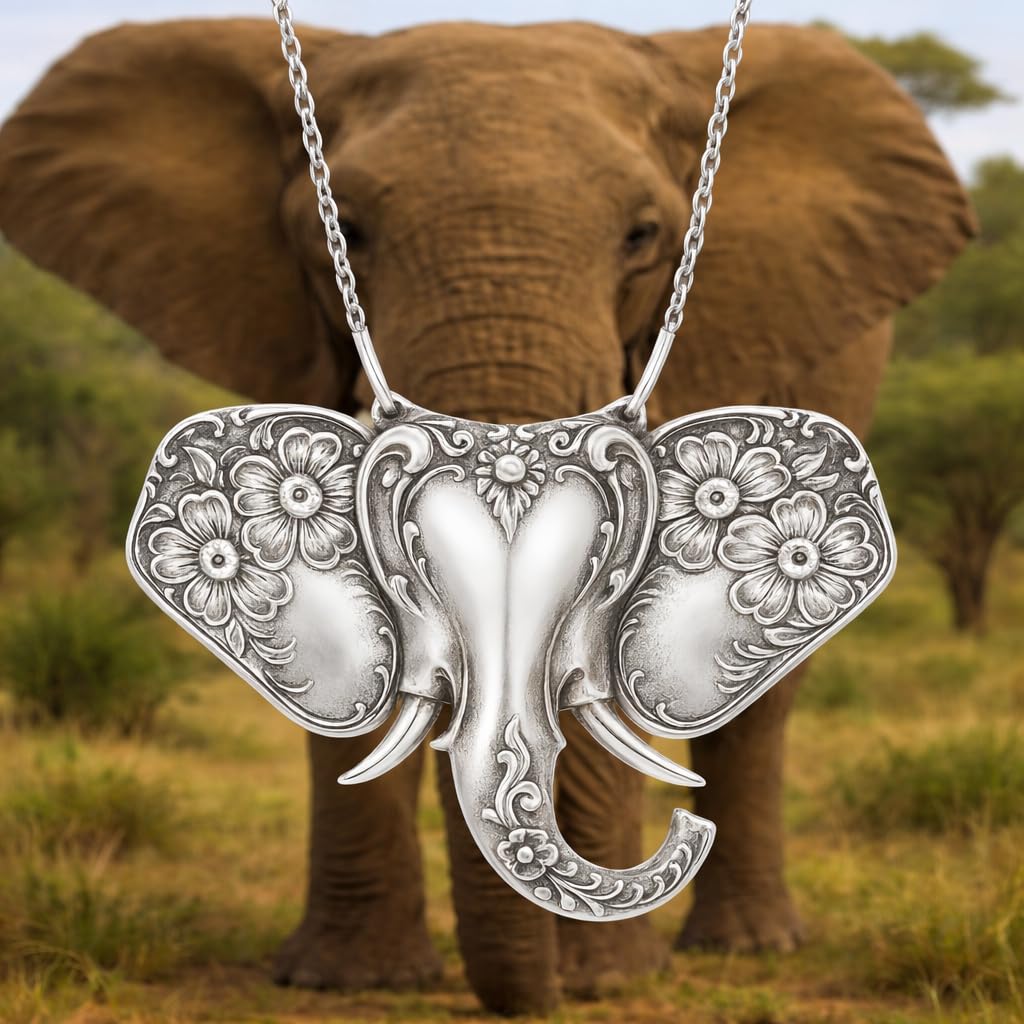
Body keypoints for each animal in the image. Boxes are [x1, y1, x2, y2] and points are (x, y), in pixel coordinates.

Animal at [0, 17, 971, 1016]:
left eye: (643, 235)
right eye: (345, 231)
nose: (537, 995)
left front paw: (603, 980)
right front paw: (346, 980)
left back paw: (748, 948)